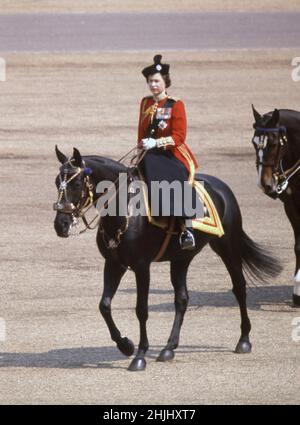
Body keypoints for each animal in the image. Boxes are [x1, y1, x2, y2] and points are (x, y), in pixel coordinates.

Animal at [53, 147, 282, 372]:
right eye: (57, 182)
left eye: (75, 183)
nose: (60, 225)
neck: (125, 213)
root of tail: (222, 187)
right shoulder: (114, 264)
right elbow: (104, 305)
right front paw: (126, 345)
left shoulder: (142, 266)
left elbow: (141, 310)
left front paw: (140, 356)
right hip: (181, 259)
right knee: (182, 299)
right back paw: (169, 348)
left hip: (228, 246)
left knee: (239, 288)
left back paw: (244, 340)